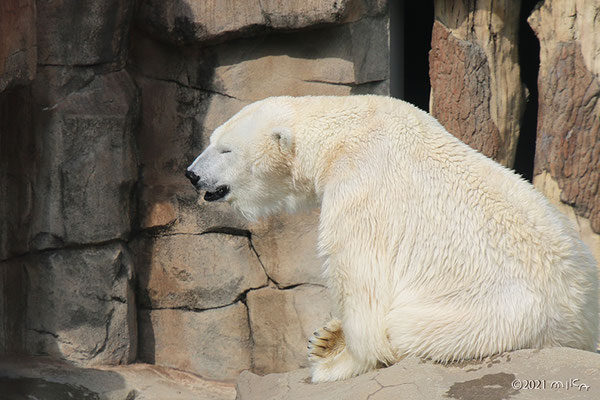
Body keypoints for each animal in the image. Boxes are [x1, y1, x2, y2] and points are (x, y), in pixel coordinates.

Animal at [185, 95, 596, 382]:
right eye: (212, 139)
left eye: (225, 149)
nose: (191, 174)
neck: (345, 130)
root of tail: (581, 322)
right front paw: (325, 341)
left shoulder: (360, 186)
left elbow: (359, 281)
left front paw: (337, 363)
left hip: (501, 313)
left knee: (407, 327)